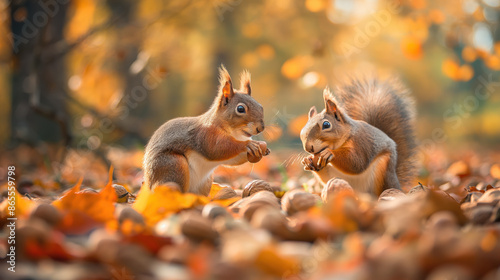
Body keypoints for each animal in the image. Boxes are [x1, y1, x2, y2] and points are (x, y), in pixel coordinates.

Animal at [143, 65, 270, 195]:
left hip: (204, 183)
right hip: (173, 166)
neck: (235, 133)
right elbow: (216, 149)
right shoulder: (206, 135)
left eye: (261, 107)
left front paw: (263, 150)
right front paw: (248, 144)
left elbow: (232, 160)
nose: (260, 128)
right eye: (240, 109)